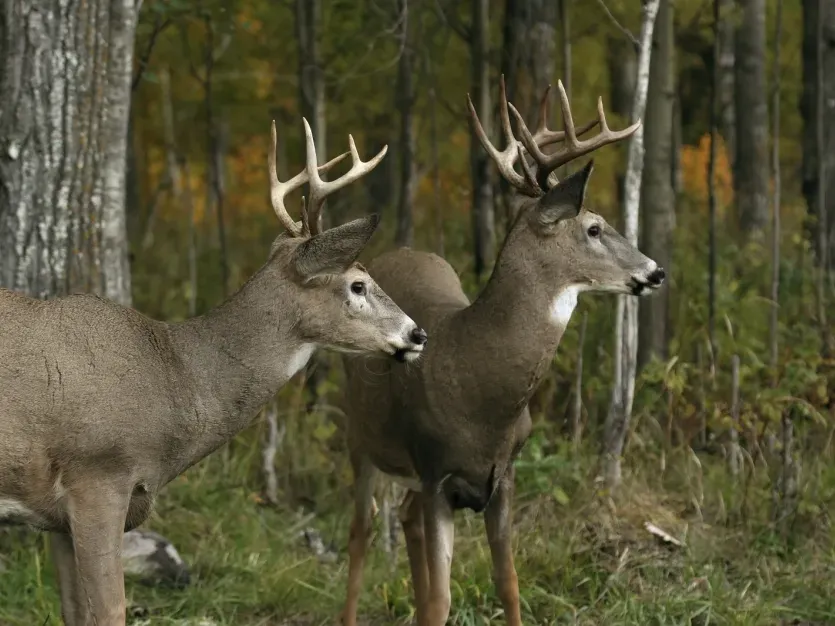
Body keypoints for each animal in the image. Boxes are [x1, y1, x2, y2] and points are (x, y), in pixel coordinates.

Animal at [0, 117, 428, 626]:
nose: (418, 333)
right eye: (358, 285)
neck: (175, 377)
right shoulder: (98, 477)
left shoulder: (58, 519)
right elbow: (110, 611)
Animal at [337, 76, 666, 626]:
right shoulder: (435, 471)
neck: (481, 387)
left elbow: (508, 582)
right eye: (594, 228)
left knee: (402, 518)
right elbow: (440, 602)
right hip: (362, 441)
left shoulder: (503, 475)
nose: (656, 270)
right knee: (361, 532)